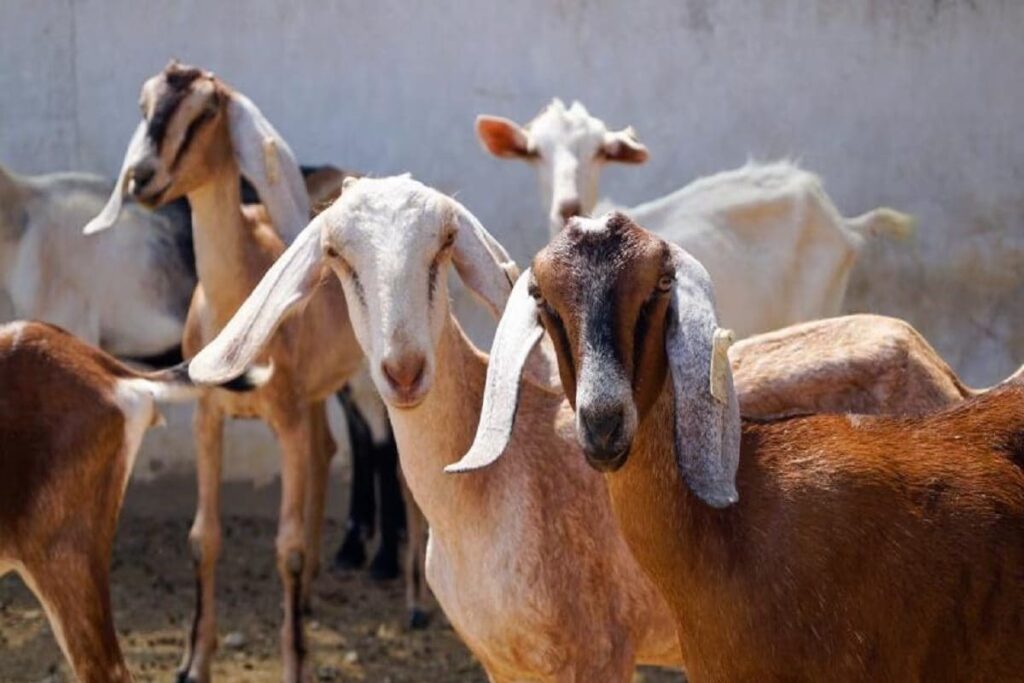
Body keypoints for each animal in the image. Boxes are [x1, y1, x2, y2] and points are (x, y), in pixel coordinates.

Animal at [83, 61, 363, 683]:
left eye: (207, 110)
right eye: (145, 104)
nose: (142, 178)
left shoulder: (284, 421)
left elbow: (286, 548)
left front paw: (294, 666)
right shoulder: (208, 417)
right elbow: (203, 537)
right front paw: (194, 663)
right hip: (316, 397)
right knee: (327, 449)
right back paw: (310, 600)